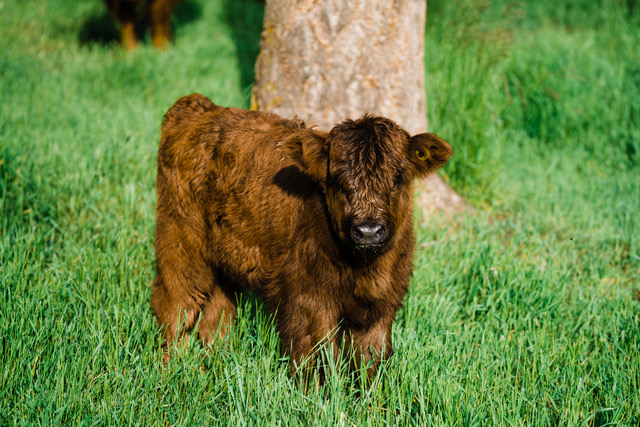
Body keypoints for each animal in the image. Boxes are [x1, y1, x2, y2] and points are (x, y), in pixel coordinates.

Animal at [154, 93, 456, 378]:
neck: (362, 270)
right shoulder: (307, 301)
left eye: (398, 177)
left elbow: (371, 362)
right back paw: (169, 371)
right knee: (175, 307)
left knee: (217, 316)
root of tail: (199, 107)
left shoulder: (382, 304)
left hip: (224, 259)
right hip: (180, 244)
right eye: (335, 179)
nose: (368, 231)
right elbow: (317, 360)